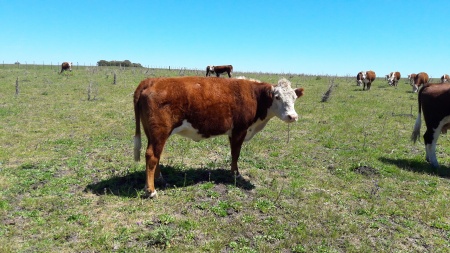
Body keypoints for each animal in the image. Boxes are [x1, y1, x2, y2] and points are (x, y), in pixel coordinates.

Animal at [132, 75, 304, 198]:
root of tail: (152, 80)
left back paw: (160, 179)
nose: (292, 116)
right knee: (152, 155)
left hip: (152, 133)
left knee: (156, 155)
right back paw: (151, 190)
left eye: (294, 98)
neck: (255, 96)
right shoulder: (239, 130)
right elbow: (235, 154)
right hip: (160, 131)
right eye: (277, 97)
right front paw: (236, 174)